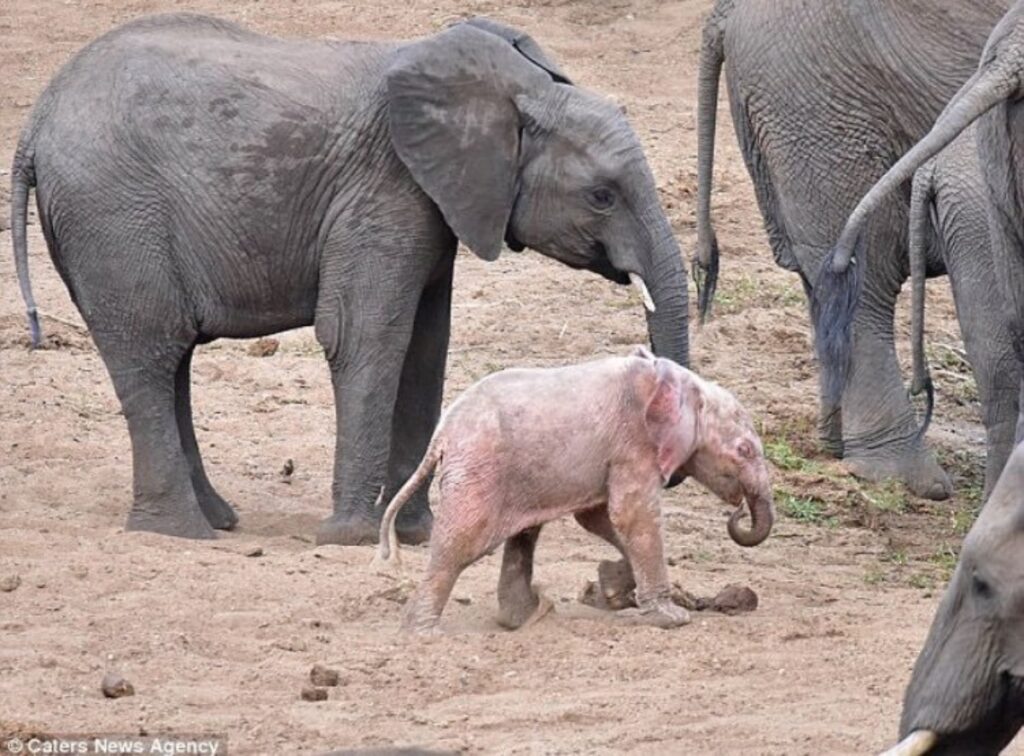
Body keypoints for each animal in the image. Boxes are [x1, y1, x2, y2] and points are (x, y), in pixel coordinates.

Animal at [8, 11, 688, 540]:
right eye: (601, 196)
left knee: (170, 358)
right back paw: (181, 532)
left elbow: (425, 347)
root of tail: (35, 123)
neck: (513, 91)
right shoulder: (383, 192)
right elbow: (366, 337)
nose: (672, 475)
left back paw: (218, 520)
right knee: (151, 353)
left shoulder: (430, 205)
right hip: (115, 216)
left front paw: (418, 535)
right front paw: (351, 537)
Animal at [378, 348, 774, 631]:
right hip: (479, 472)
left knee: (523, 534)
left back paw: (530, 616)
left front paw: (611, 587)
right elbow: (630, 516)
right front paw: (673, 618)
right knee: (460, 543)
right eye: (744, 450)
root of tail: (441, 434)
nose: (739, 510)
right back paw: (423, 632)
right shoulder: (634, 444)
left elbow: (599, 518)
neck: (678, 381)